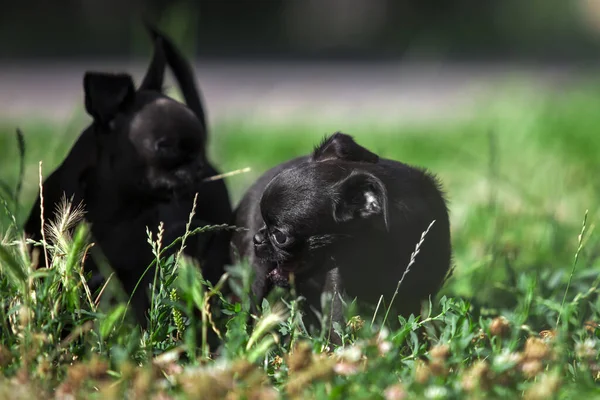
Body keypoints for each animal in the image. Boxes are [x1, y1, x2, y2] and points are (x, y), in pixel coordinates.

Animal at [232, 132, 452, 344]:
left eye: (280, 236)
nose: (257, 238)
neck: (376, 251)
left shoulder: (418, 298)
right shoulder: (337, 289)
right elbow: (338, 326)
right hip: (254, 278)